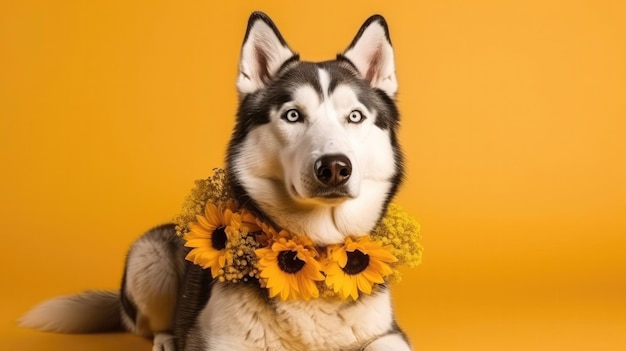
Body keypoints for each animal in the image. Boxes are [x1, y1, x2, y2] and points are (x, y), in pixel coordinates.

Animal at [19, 11, 408, 351]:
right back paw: (165, 339)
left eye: (355, 116)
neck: (316, 248)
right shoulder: (216, 339)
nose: (334, 168)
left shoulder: (390, 334)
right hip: (150, 258)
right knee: (153, 325)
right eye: (293, 116)